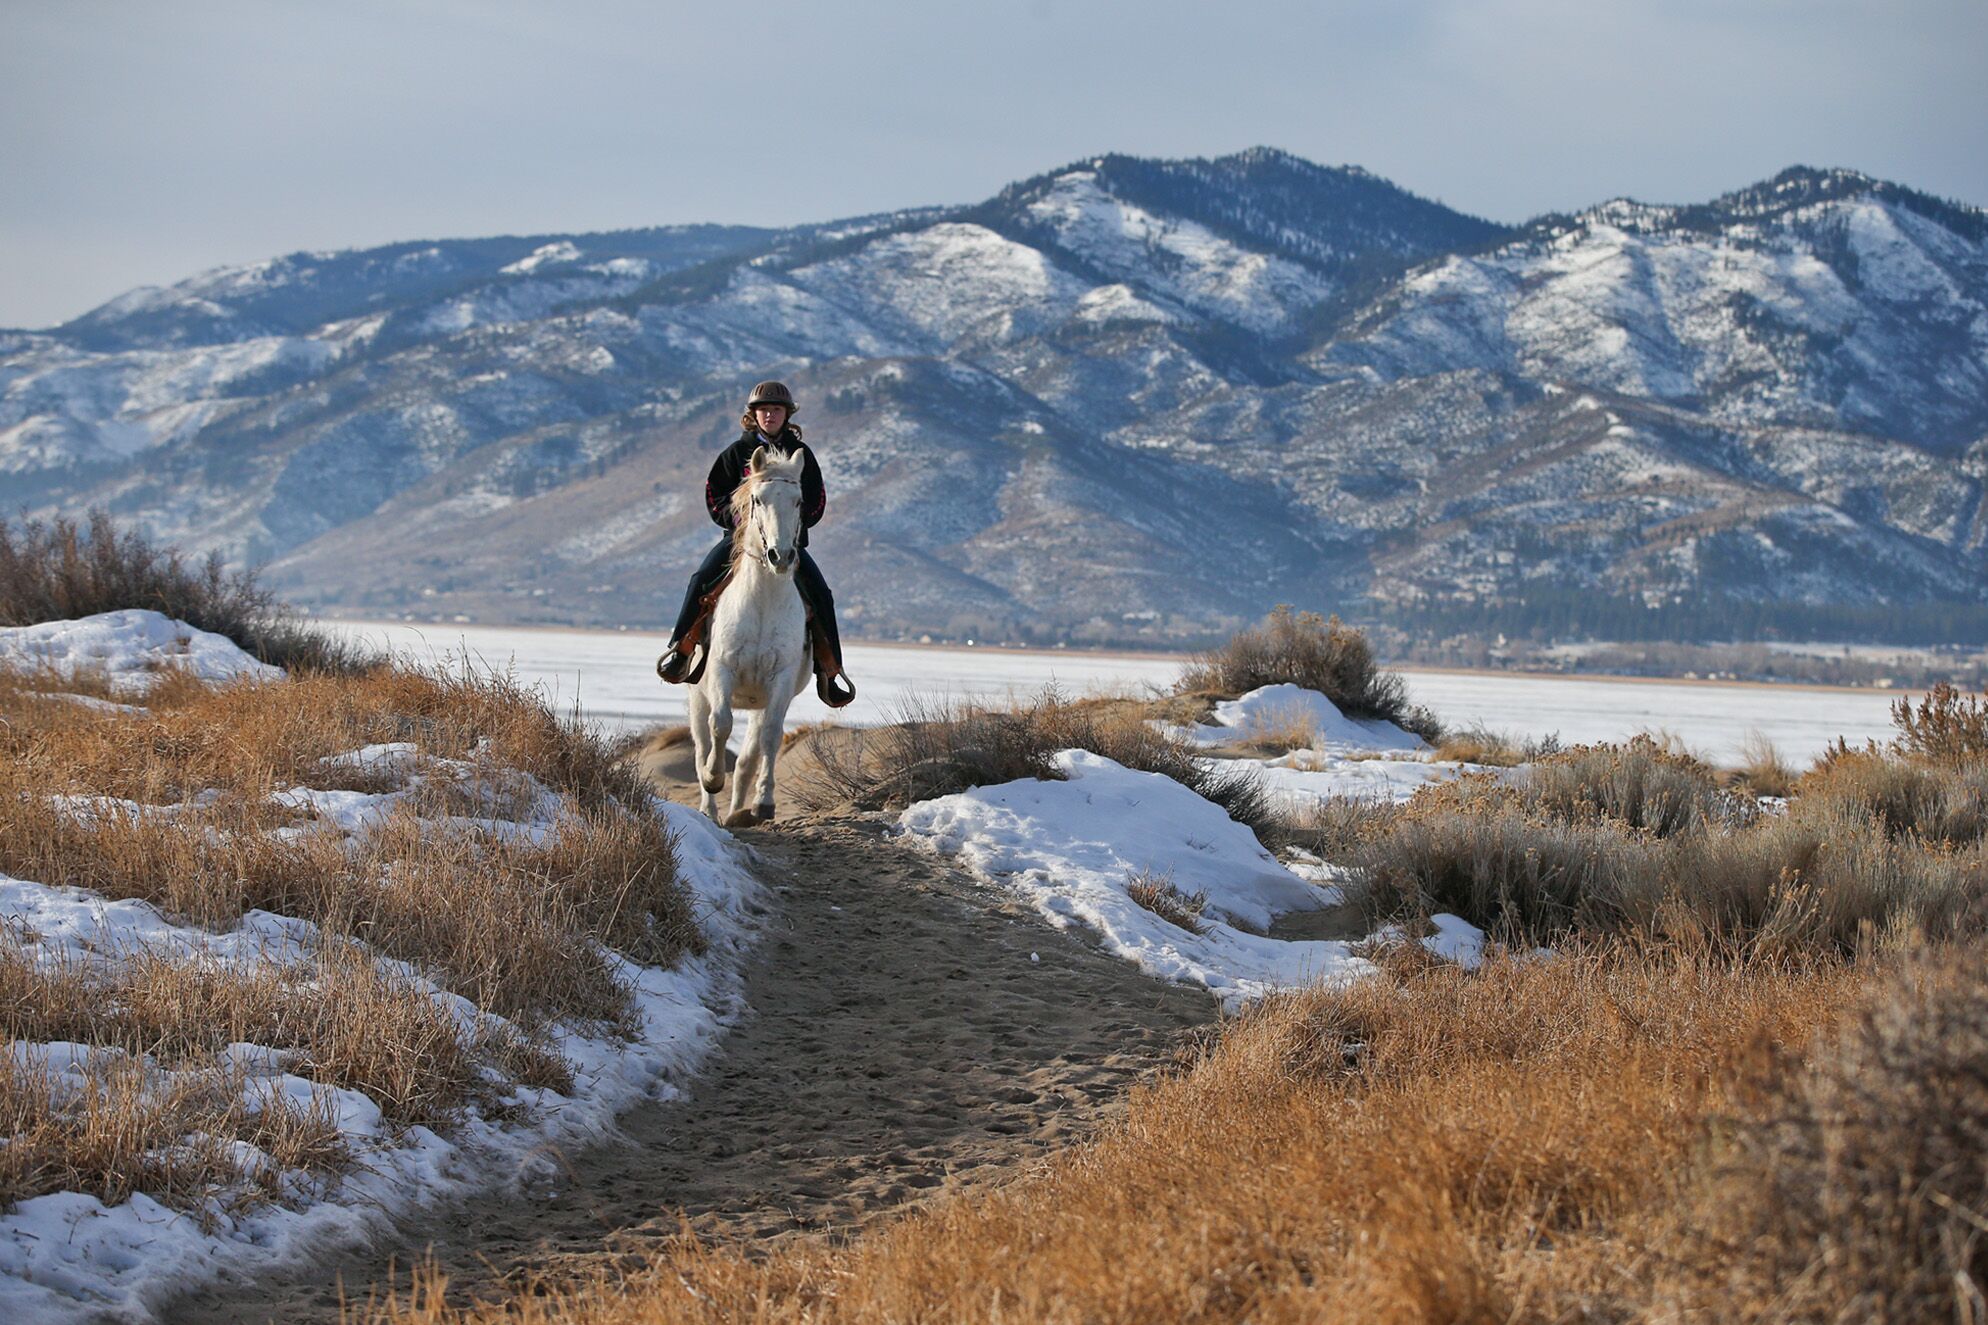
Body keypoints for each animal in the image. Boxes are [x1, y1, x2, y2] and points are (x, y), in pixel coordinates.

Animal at [683, 451, 807, 827]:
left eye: (798, 500)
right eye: (757, 499)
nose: (781, 557)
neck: (763, 601)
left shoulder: (780, 680)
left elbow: (771, 736)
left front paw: (764, 803)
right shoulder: (722, 671)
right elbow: (721, 726)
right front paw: (712, 779)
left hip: (757, 702)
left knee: (747, 759)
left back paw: (737, 811)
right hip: (697, 697)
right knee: (702, 746)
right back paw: (710, 809)